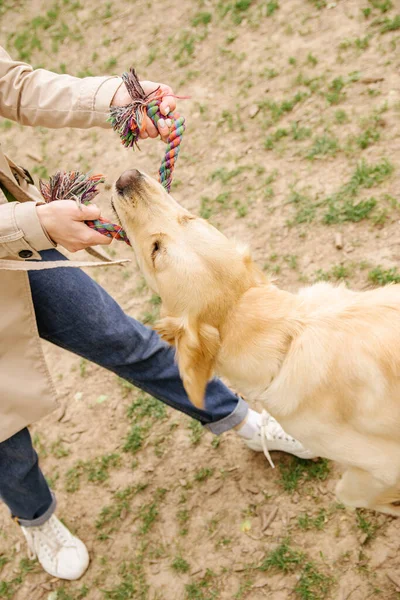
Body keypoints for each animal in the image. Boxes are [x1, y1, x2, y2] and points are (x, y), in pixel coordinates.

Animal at [111, 169, 400, 516]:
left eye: (155, 250)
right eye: (189, 216)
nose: (127, 176)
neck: (288, 334)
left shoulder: (381, 466)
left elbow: (348, 494)